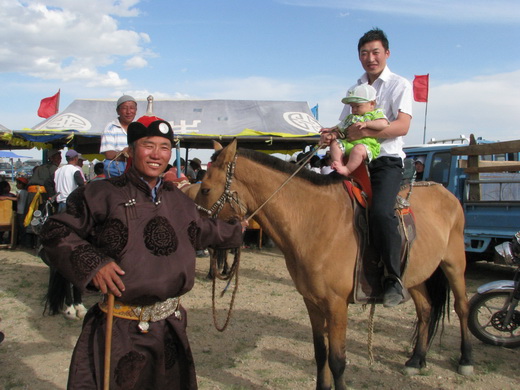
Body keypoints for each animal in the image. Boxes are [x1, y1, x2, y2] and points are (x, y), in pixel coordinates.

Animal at [194, 141, 472, 390]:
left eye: (205, 189)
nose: (194, 230)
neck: (315, 220)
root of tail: (445, 192)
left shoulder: (336, 305)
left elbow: (337, 360)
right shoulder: (313, 302)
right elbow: (320, 354)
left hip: (454, 265)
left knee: (462, 308)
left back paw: (465, 359)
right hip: (413, 275)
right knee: (425, 310)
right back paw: (416, 359)